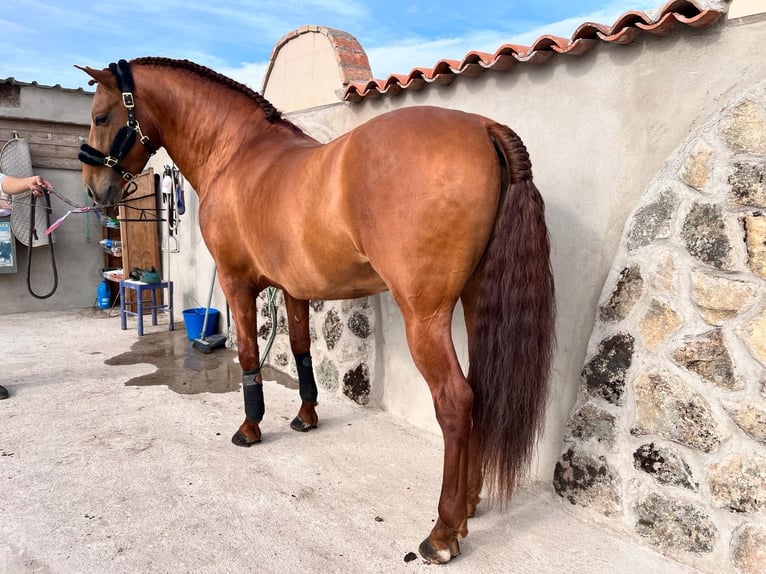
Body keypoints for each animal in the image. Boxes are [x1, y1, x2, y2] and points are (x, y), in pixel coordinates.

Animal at [78, 59, 556, 568]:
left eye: (101, 116)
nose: (93, 188)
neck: (237, 153)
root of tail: (483, 127)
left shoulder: (236, 283)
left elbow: (248, 354)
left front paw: (250, 427)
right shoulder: (293, 289)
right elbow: (302, 349)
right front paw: (306, 416)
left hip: (424, 317)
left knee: (455, 400)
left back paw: (443, 532)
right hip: (474, 299)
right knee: (480, 393)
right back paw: (468, 505)